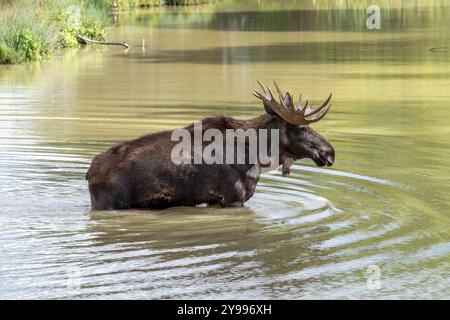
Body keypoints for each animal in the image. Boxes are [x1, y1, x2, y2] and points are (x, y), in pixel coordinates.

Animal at [88, 82, 334, 210]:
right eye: (301, 128)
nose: (329, 152)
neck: (257, 154)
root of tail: (89, 172)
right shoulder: (234, 198)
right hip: (109, 203)